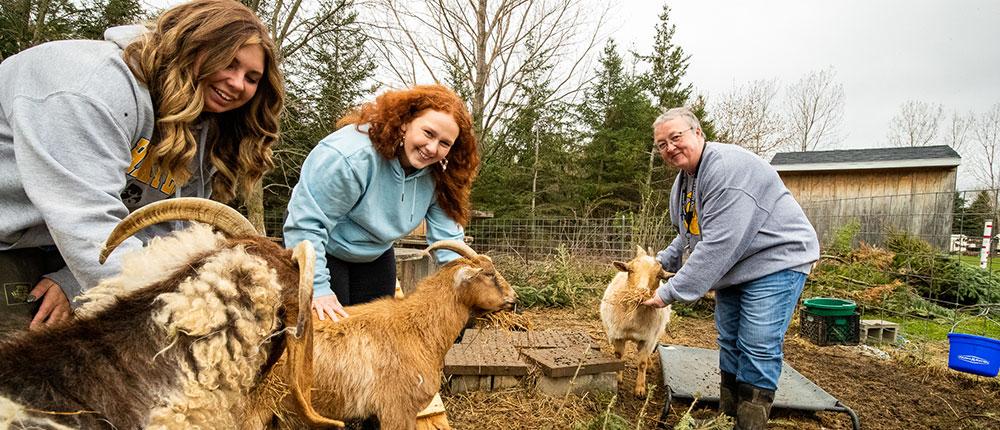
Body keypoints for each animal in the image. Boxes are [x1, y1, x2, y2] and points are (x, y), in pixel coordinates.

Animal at [599, 245, 674, 397]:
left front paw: (640, 389)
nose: (641, 292)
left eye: (659, 275)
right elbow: (619, 356)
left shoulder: (647, 339)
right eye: (631, 270)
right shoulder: (618, 336)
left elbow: (642, 364)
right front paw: (618, 378)